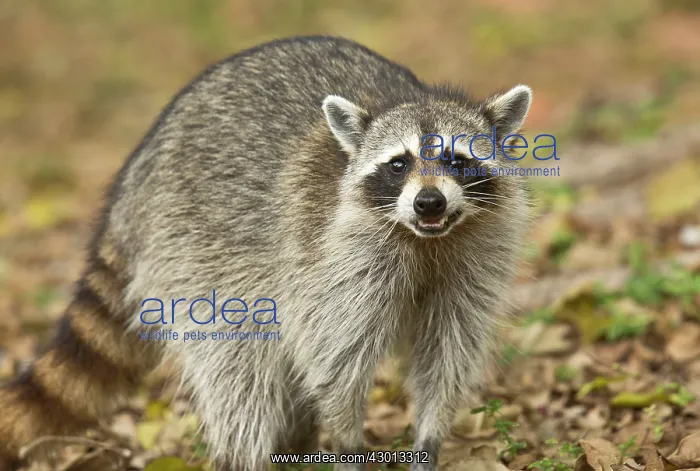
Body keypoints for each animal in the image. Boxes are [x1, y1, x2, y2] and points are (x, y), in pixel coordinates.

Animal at [0, 36, 532, 470]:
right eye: (398, 164)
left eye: (456, 160)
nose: (429, 202)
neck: (426, 241)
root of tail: (134, 177)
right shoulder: (332, 260)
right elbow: (334, 357)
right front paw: (347, 440)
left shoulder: (475, 259)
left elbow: (449, 349)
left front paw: (430, 436)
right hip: (192, 245)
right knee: (238, 364)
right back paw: (246, 454)